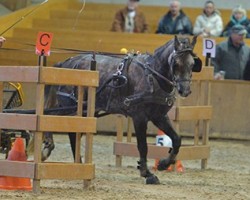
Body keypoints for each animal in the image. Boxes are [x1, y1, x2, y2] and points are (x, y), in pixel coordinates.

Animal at [41, 34, 201, 184]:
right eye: (176, 63)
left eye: (192, 64)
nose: (185, 90)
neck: (153, 75)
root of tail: (66, 62)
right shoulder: (139, 117)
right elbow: (143, 146)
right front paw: (147, 173)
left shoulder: (159, 116)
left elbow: (177, 139)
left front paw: (163, 164)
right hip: (71, 106)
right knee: (50, 117)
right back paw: (48, 147)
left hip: (87, 110)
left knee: (72, 132)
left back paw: (78, 165)